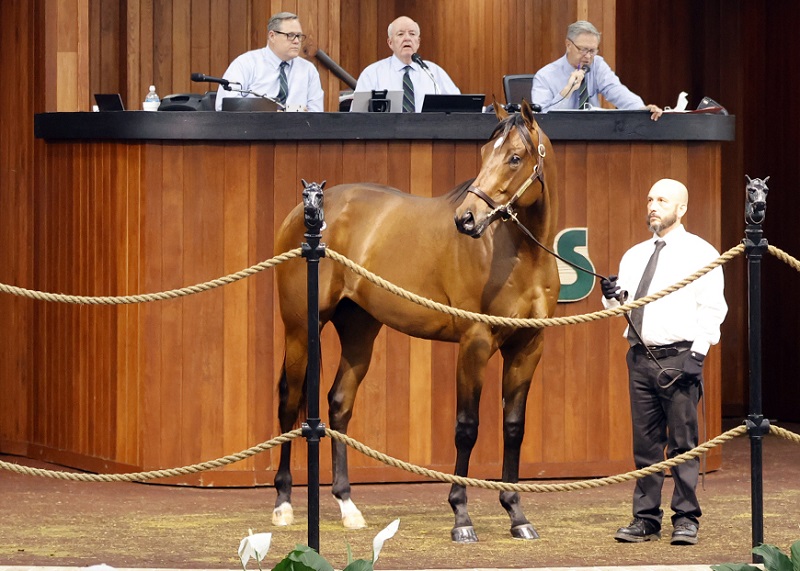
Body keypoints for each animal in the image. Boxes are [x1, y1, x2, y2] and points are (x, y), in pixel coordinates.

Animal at [272, 100, 560, 544]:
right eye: (483, 153)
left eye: (514, 157)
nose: (466, 219)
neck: (517, 256)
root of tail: (304, 217)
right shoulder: (474, 343)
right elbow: (467, 427)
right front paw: (461, 517)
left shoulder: (528, 347)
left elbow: (514, 427)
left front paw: (517, 515)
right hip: (301, 329)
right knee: (289, 400)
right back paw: (284, 504)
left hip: (359, 329)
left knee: (339, 403)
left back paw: (348, 506)